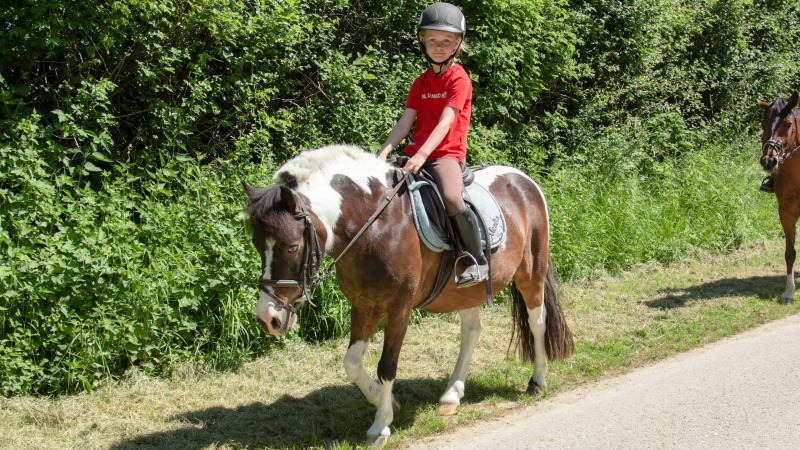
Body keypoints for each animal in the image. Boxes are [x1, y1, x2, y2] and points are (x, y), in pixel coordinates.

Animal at [241, 144, 572, 442]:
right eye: (257, 245)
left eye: (291, 247)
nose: (268, 318)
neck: (373, 226)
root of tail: (523, 180)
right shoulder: (363, 306)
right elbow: (352, 362)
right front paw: (385, 402)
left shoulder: (398, 308)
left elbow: (387, 365)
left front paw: (381, 425)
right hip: (467, 291)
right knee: (471, 332)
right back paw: (451, 395)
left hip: (532, 272)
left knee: (537, 322)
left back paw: (537, 381)